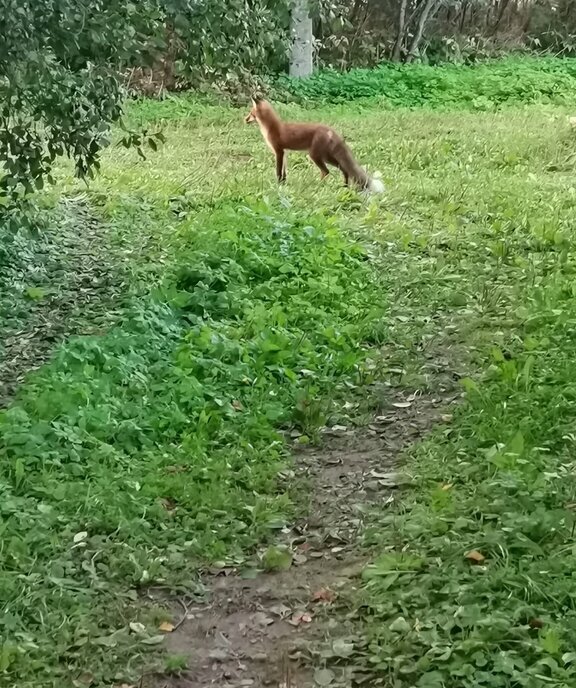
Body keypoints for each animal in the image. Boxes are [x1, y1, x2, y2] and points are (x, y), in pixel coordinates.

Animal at [243, 97, 382, 194]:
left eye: (251, 113)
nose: (244, 119)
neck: (272, 127)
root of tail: (330, 129)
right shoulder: (285, 152)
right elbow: (284, 171)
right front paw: (283, 183)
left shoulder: (279, 151)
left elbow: (278, 171)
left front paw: (278, 184)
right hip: (326, 157)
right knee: (344, 169)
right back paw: (345, 186)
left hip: (314, 156)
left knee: (326, 171)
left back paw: (318, 186)